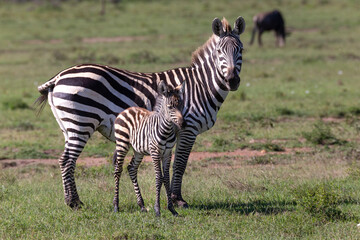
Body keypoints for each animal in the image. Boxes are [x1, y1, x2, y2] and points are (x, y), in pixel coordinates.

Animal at [114, 81, 184, 218]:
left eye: (181, 105)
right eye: (170, 107)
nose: (183, 124)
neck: (166, 130)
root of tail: (127, 109)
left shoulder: (168, 153)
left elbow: (166, 178)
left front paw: (172, 209)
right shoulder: (155, 152)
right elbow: (158, 178)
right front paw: (157, 210)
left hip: (138, 150)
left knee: (131, 168)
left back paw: (141, 205)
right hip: (122, 143)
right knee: (118, 170)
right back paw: (116, 205)